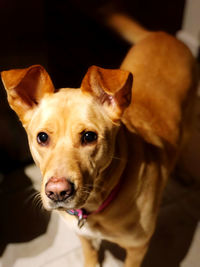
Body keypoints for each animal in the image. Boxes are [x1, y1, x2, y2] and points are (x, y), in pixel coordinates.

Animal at [0, 13, 197, 266]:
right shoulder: (83, 235)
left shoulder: (137, 248)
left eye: (89, 136)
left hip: (190, 119)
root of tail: (162, 35)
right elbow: (90, 255)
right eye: (42, 137)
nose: (57, 192)